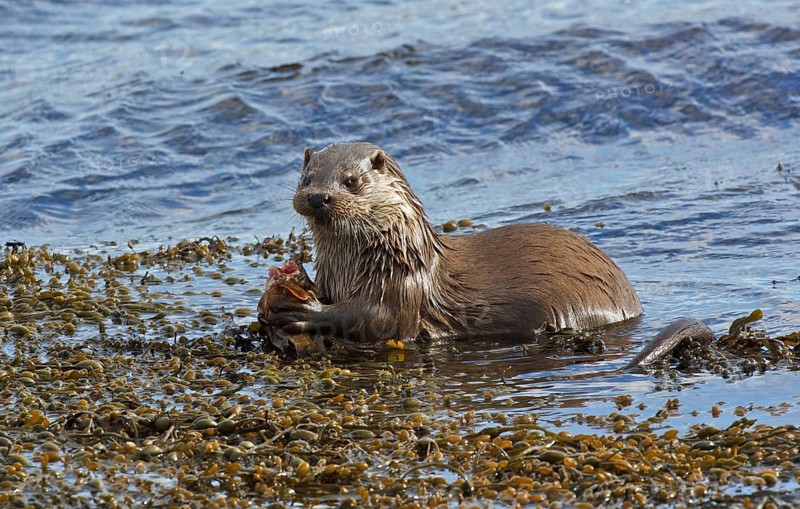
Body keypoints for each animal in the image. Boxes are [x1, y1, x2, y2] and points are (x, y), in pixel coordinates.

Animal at [267, 143, 713, 366]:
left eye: (351, 181)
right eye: (306, 178)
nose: (318, 197)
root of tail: (632, 303)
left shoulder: (399, 287)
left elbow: (373, 319)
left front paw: (302, 311)